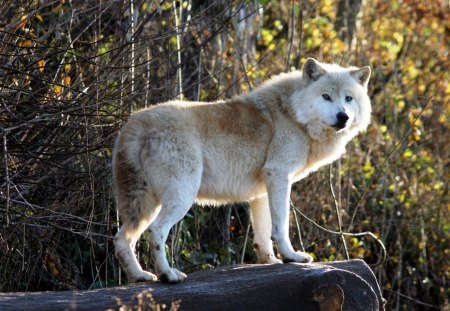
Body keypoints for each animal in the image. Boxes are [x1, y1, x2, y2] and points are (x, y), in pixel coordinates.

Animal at [113, 58, 372, 286]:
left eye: (348, 98)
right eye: (326, 96)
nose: (343, 116)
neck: (292, 114)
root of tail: (134, 123)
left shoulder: (262, 191)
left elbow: (264, 233)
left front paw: (270, 261)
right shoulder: (278, 175)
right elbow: (281, 226)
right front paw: (292, 257)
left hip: (145, 206)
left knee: (121, 239)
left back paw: (140, 276)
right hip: (180, 197)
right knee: (156, 231)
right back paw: (168, 275)